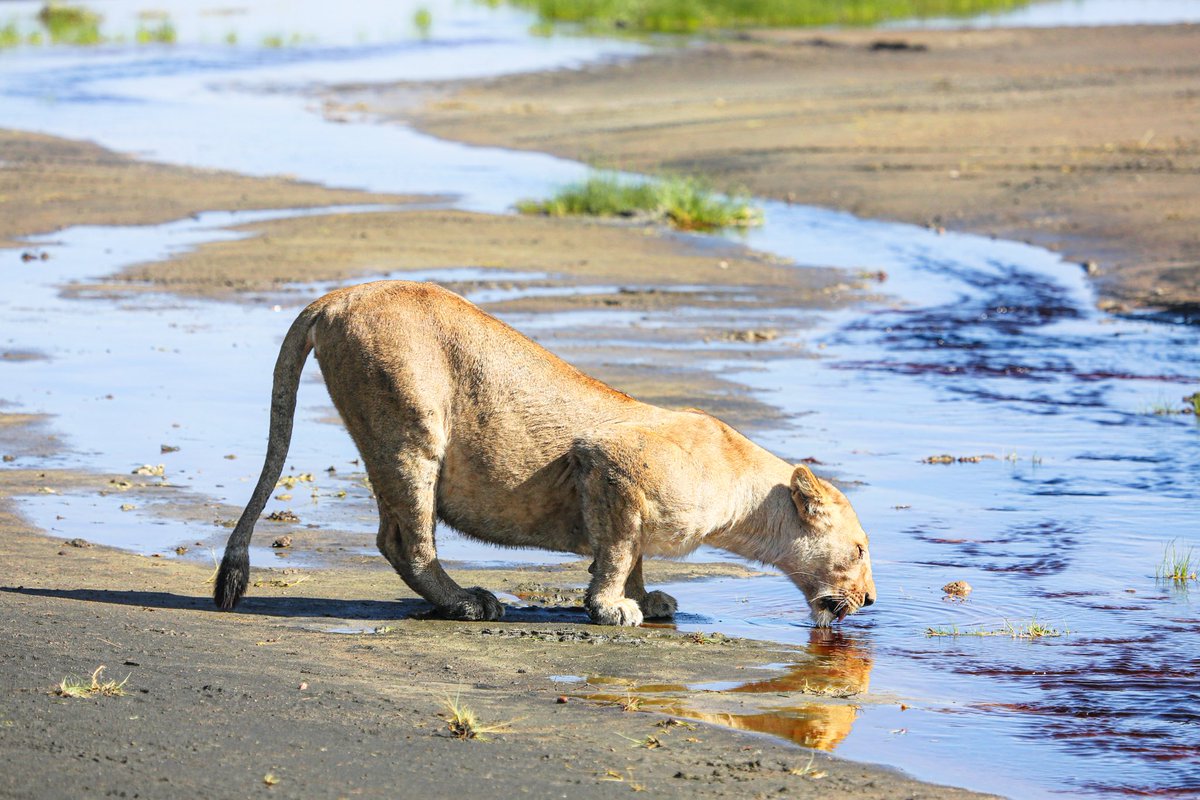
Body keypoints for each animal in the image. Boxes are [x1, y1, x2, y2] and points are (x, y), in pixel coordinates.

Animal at [214, 281, 876, 627]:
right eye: (862, 550)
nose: (871, 600)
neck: (745, 499)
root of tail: (338, 294)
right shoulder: (610, 463)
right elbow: (617, 552)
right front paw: (613, 609)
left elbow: (632, 553)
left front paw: (646, 599)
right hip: (410, 422)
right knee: (404, 539)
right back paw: (469, 602)